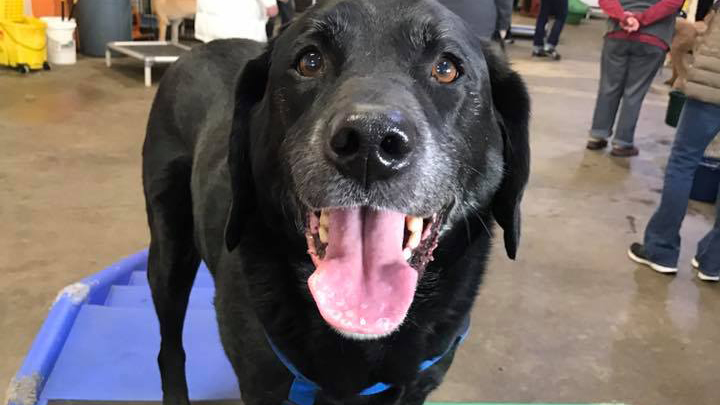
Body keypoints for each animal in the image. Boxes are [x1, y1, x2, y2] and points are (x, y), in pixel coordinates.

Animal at [142, 1, 528, 402]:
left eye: (447, 68)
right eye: (310, 61)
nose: (370, 143)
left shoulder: (418, 384)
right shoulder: (262, 381)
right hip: (168, 253)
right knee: (169, 347)